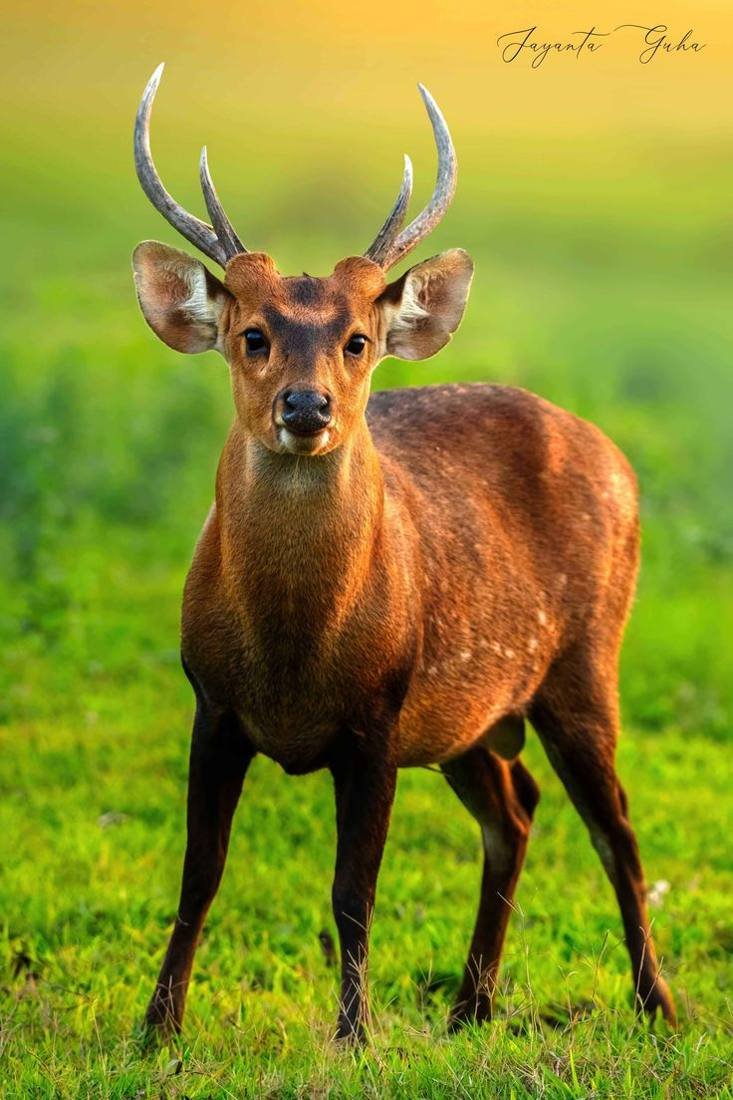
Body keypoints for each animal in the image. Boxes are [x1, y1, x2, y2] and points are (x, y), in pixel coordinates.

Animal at [132, 63, 676, 1042]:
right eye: (251, 334)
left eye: (357, 340)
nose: (306, 407)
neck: (292, 657)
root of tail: (616, 458)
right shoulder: (212, 703)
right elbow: (199, 880)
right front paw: (157, 1030)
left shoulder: (379, 717)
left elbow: (353, 892)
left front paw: (354, 1036)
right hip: (471, 717)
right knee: (517, 809)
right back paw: (470, 1004)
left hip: (585, 661)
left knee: (613, 825)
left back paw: (657, 1005)